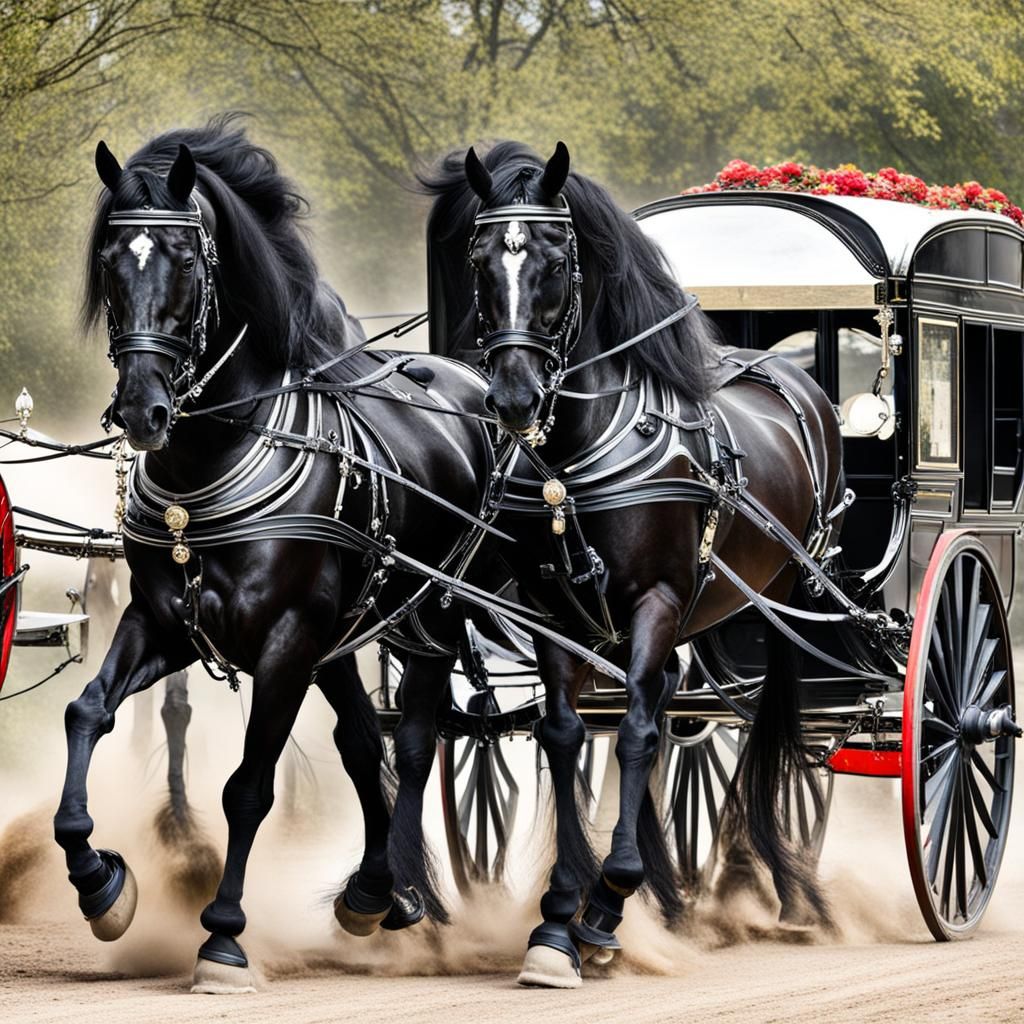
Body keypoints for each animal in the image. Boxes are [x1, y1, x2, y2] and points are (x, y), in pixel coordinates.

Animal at [53, 116, 498, 993]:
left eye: (188, 262)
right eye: (112, 262)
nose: (143, 410)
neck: (206, 463)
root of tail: (463, 377)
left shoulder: (286, 642)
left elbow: (250, 786)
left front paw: (223, 936)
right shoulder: (162, 623)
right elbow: (86, 710)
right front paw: (99, 883)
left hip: (428, 618)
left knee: (415, 742)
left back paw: (400, 887)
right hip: (344, 638)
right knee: (362, 743)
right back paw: (375, 892)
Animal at [420, 141, 846, 987]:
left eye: (556, 259)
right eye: (481, 260)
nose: (513, 399)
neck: (577, 460)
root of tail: (790, 373)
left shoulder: (654, 601)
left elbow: (639, 734)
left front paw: (612, 898)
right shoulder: (553, 611)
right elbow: (564, 734)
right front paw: (562, 915)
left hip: (787, 600)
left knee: (767, 735)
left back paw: (773, 884)